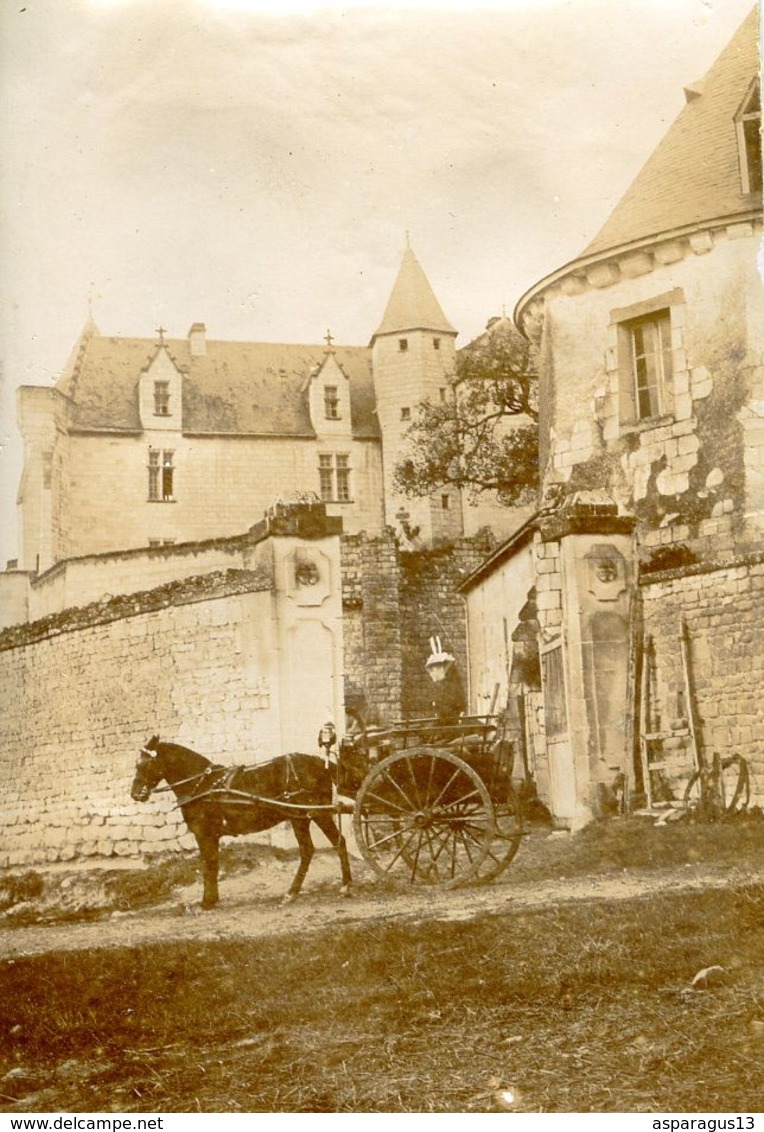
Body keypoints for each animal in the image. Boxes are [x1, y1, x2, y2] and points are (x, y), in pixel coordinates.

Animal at [130, 733, 353, 910]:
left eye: (142, 764)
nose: (135, 794)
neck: (203, 785)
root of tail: (320, 762)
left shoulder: (204, 835)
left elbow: (208, 865)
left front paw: (207, 901)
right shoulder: (211, 836)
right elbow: (213, 864)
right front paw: (213, 899)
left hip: (315, 815)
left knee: (329, 845)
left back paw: (338, 886)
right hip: (304, 818)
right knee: (320, 847)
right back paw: (302, 891)